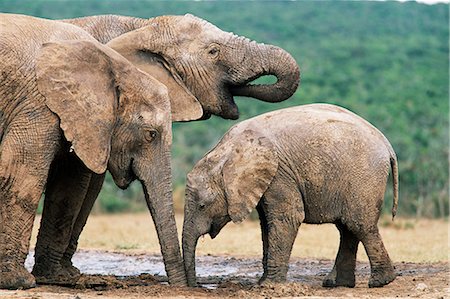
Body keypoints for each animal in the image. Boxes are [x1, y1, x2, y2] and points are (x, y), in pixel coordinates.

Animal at [0, 13, 185, 290]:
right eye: (151, 134)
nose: (183, 286)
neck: (112, 65)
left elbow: (69, 187)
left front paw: (54, 279)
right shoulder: (38, 106)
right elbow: (21, 178)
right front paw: (17, 281)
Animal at [181, 104, 400, 290]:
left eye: (202, 205)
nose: (197, 286)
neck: (226, 151)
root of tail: (386, 143)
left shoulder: (279, 173)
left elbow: (286, 219)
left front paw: (268, 285)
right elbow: (266, 224)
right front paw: (263, 282)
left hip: (364, 176)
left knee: (358, 224)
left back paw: (380, 282)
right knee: (346, 227)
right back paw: (337, 284)